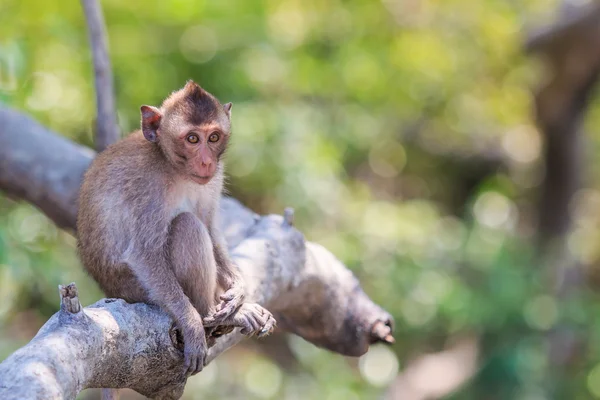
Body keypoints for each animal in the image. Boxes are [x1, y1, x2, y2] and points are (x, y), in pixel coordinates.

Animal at [77, 79, 276, 376]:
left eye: (213, 137)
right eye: (192, 139)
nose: (206, 162)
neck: (174, 167)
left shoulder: (214, 179)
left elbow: (210, 229)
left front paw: (239, 289)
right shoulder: (148, 187)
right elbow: (145, 254)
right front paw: (193, 325)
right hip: (136, 290)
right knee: (186, 226)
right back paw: (210, 315)